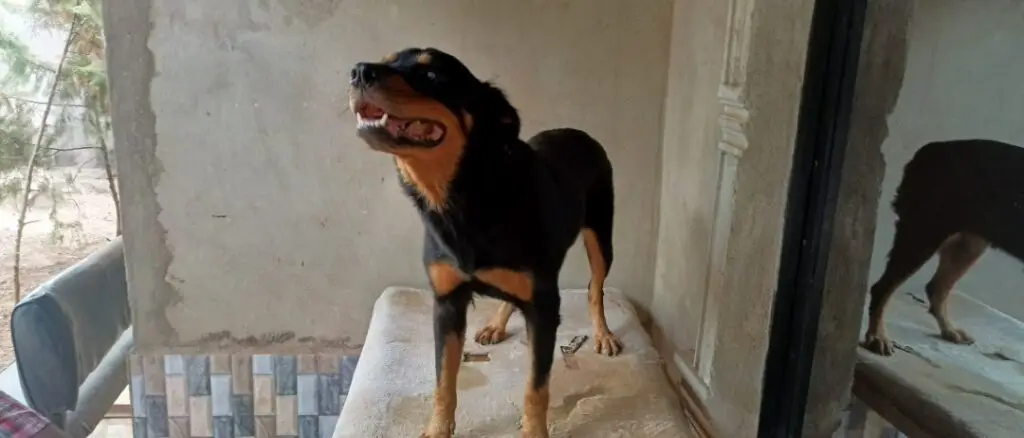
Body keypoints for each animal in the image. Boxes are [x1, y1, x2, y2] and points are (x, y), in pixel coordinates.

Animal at [348, 47, 618, 438]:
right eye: (387, 60)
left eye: (432, 76)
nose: (358, 72)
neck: (463, 198)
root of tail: (579, 133)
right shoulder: (447, 303)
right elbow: (443, 381)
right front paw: (437, 429)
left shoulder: (545, 308)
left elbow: (536, 388)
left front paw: (533, 432)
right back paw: (496, 323)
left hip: (600, 237)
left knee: (595, 287)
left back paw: (603, 334)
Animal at [864, 139, 1024, 356]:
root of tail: (928, 151)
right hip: (924, 233)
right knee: (883, 288)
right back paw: (877, 336)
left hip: (968, 243)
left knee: (936, 287)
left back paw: (949, 330)